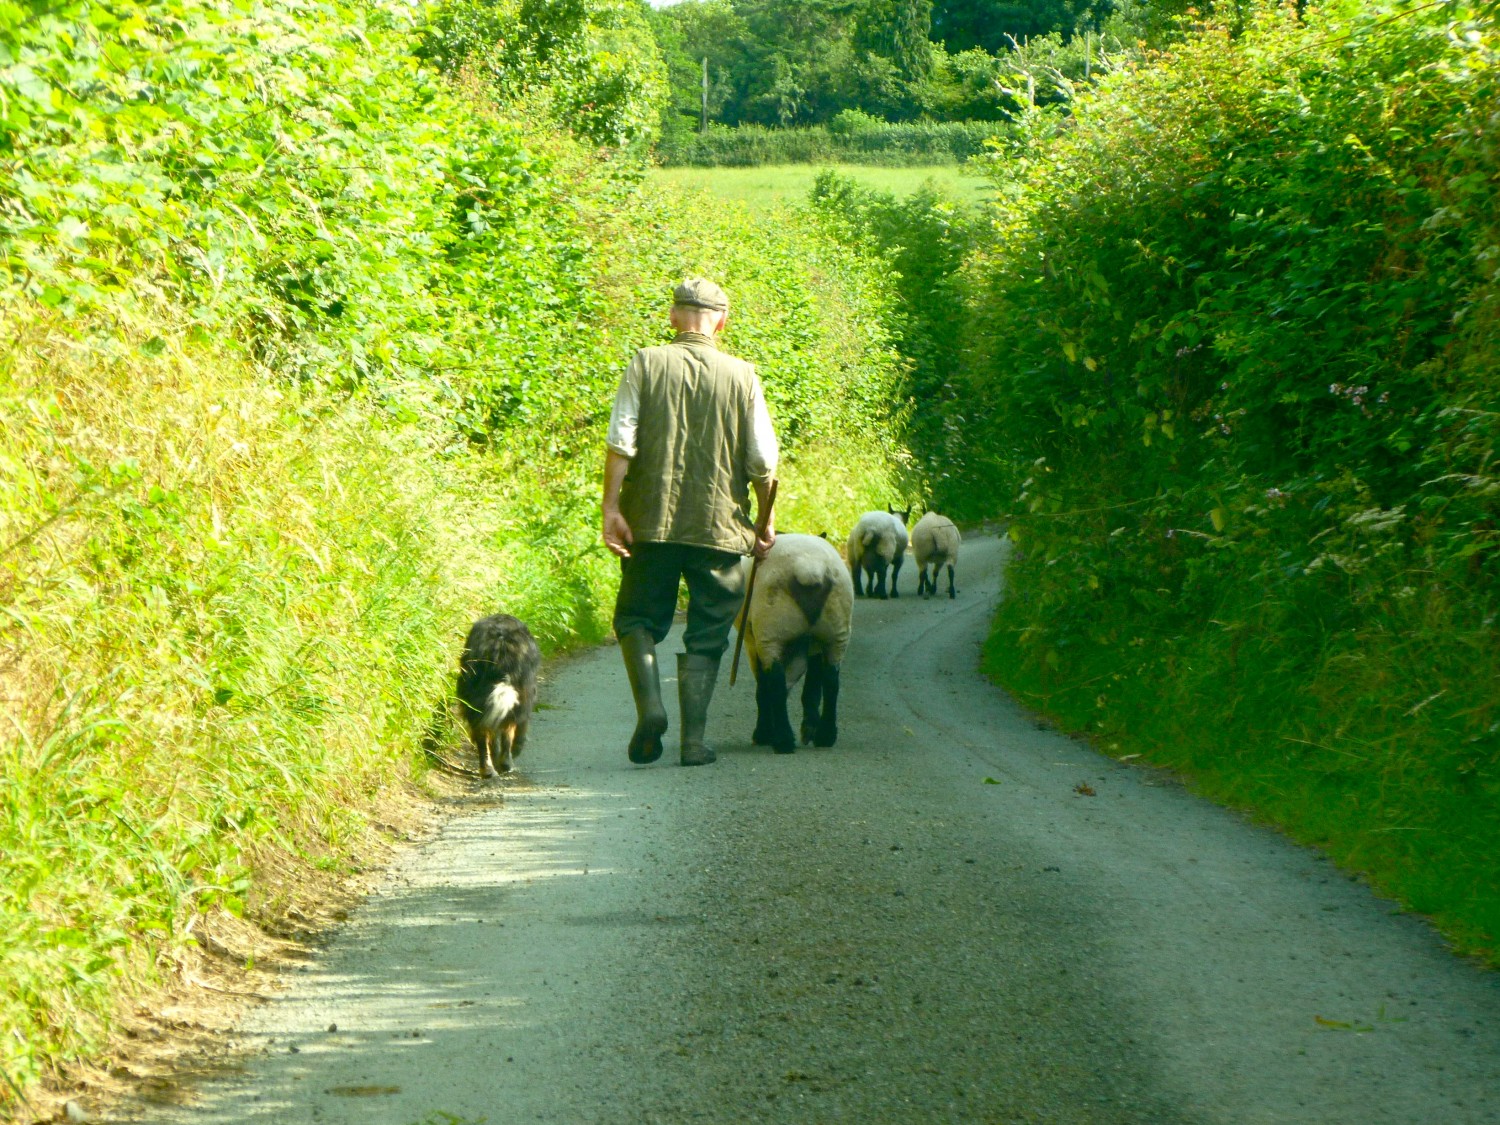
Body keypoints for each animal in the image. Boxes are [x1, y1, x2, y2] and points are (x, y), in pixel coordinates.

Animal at [735, 534, 852, 759]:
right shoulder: (813, 647)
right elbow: (812, 687)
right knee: (831, 681)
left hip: (772, 629)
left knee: (776, 683)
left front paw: (764, 733)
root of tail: (809, 568)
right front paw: (810, 728)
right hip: (836, 632)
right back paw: (825, 736)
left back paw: (782, 740)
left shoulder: (753, 644)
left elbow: (763, 687)